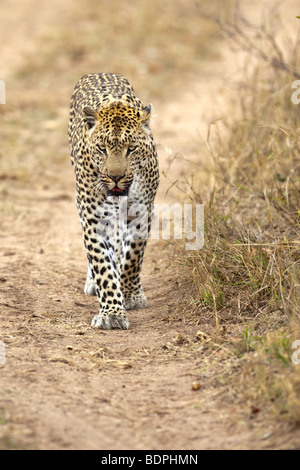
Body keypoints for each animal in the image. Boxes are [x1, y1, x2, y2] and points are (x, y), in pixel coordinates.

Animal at [68, 73, 159, 330]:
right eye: (102, 148)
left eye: (131, 148)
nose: (116, 177)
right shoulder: (93, 218)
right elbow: (102, 265)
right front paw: (112, 313)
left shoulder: (141, 212)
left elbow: (133, 256)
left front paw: (130, 294)